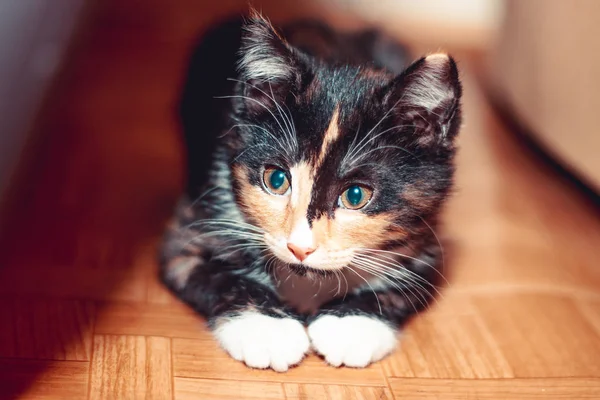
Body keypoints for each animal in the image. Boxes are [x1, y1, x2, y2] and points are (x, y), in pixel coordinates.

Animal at [158, 10, 460, 374]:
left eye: (355, 196)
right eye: (276, 180)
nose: (299, 248)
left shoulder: (428, 234)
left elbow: (411, 283)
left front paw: (352, 326)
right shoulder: (194, 221)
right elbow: (213, 272)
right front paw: (267, 329)